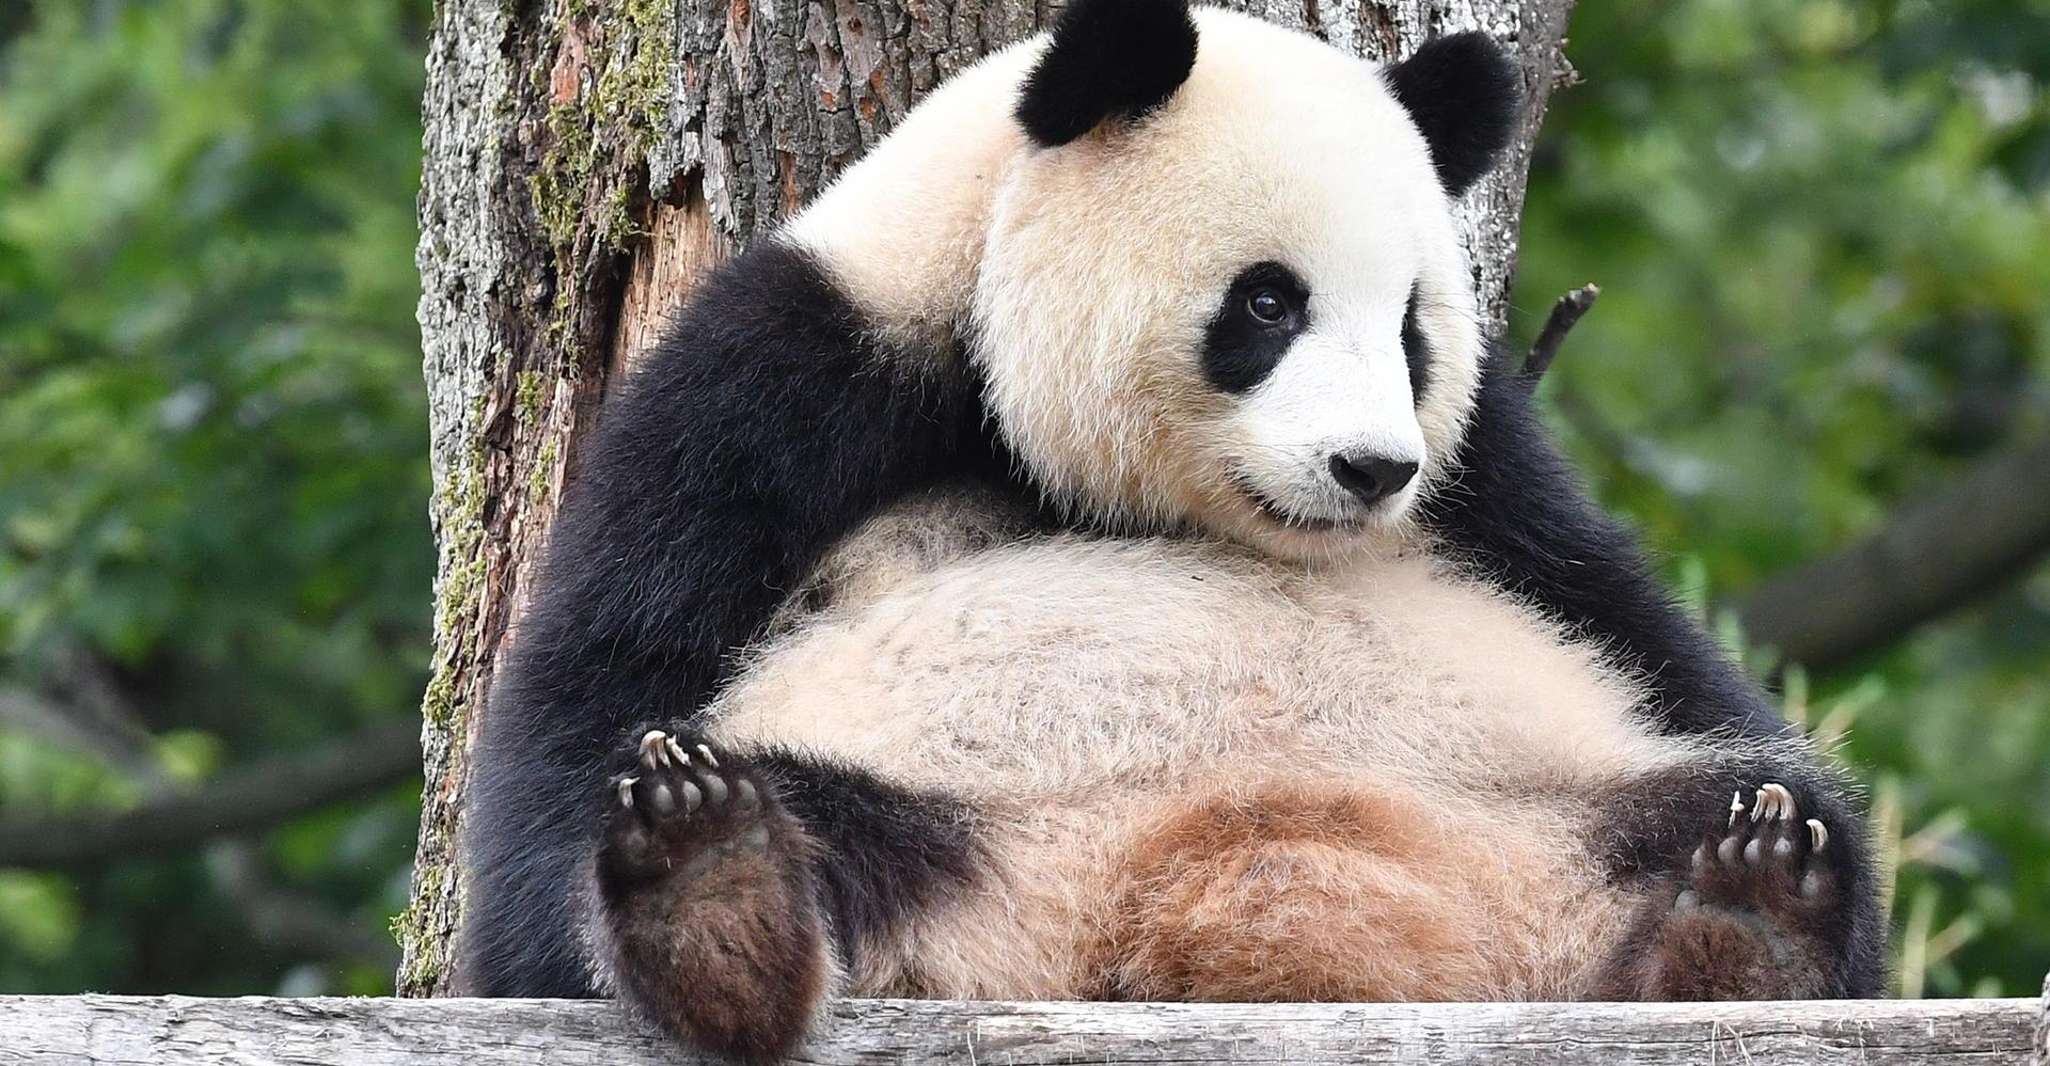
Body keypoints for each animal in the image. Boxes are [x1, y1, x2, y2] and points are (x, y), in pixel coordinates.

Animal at [461, 0, 1887, 1060]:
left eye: (1412, 328)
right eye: (1267, 303)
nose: (1372, 471)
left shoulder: (1491, 479)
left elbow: (1651, 641)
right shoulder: (788, 380)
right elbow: (588, 707)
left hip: (1528, 818)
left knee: (1756, 805)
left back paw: (1742, 911)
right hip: (955, 824)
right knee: (813, 809)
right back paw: (715, 892)